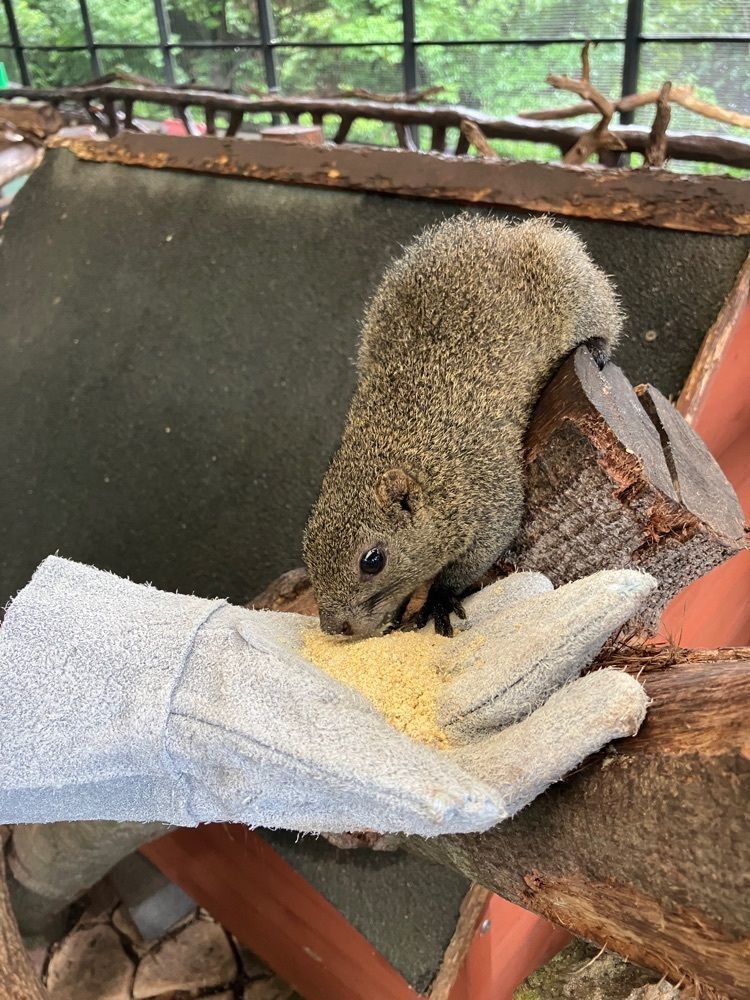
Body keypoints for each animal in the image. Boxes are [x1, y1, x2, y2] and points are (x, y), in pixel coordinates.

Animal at [304, 215, 624, 636]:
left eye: (372, 560)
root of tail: (510, 229)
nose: (333, 626)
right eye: (308, 551)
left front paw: (437, 600)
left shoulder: (492, 500)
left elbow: (476, 557)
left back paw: (598, 346)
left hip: (580, 287)